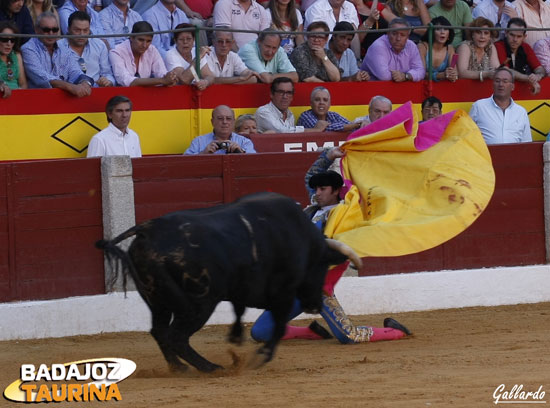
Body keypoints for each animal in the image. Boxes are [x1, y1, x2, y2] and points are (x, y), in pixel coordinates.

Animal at [95, 191, 362, 372]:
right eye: (322, 266)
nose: (314, 304)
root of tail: (147, 230)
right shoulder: (283, 293)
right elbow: (278, 327)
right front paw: (262, 356)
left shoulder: (242, 289)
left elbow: (240, 311)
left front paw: (236, 338)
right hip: (198, 304)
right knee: (177, 336)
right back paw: (210, 367)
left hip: (157, 300)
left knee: (159, 331)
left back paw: (180, 367)